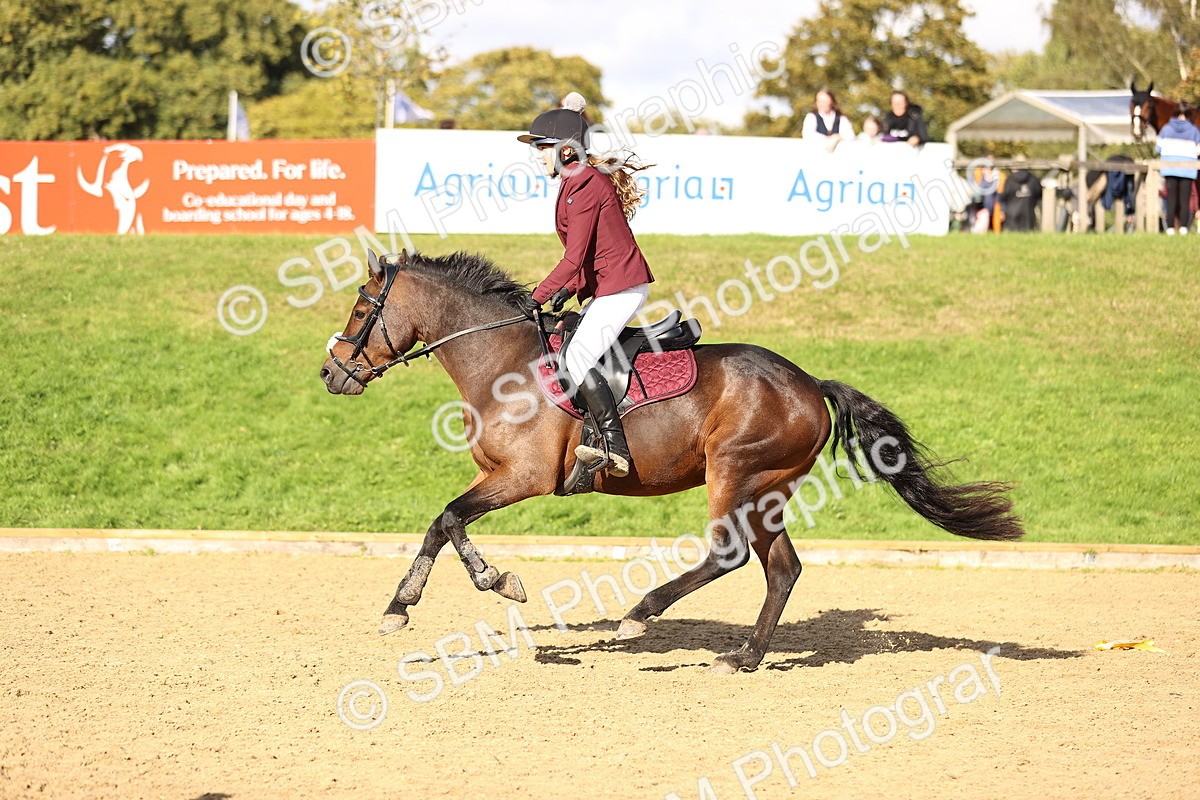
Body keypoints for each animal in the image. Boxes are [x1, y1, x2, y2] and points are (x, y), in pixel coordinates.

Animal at [319, 249, 1024, 673]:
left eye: (360, 307)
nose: (331, 373)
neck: (502, 363)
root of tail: (809, 383)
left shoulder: (523, 477)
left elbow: (449, 519)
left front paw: (493, 583)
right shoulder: (493, 474)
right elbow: (443, 524)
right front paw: (404, 605)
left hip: (733, 472)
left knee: (730, 555)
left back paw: (640, 617)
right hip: (765, 490)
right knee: (782, 568)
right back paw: (745, 657)